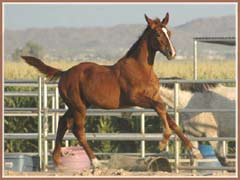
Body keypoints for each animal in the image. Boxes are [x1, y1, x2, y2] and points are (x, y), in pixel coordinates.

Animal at [22, 13, 202, 167]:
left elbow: (171, 120)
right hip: (78, 107)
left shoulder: (155, 96)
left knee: (63, 122)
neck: (141, 69)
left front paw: (194, 151)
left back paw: (57, 160)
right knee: (78, 130)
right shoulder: (136, 98)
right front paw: (163, 143)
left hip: (77, 106)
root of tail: (65, 73)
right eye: (158, 34)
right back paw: (95, 162)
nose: (172, 53)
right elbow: (161, 108)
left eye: (169, 33)